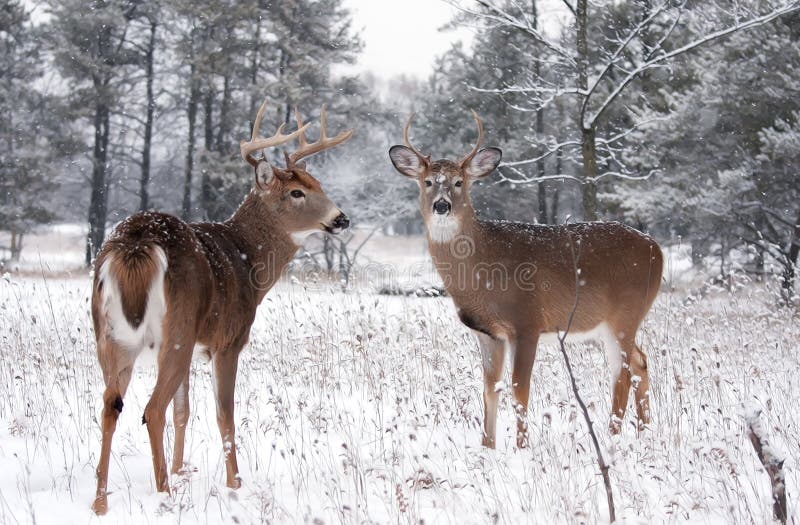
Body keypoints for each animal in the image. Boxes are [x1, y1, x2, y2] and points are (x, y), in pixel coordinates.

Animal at [90, 99, 353, 515]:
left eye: (319, 184)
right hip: (175, 330)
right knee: (151, 409)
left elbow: (184, 411)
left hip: (112, 336)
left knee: (110, 406)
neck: (249, 261)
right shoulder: (229, 339)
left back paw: (101, 502)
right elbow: (224, 414)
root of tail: (136, 244)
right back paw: (164, 495)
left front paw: (182, 470)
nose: (341, 219)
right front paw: (235, 484)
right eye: (296, 192)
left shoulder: (197, 344)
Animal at [389, 112, 663, 449]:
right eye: (427, 182)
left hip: (624, 316)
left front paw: (522, 447)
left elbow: (520, 389)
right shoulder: (487, 332)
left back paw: (611, 438)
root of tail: (657, 248)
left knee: (622, 373)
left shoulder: (528, 322)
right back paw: (644, 432)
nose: (442, 205)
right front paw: (488, 447)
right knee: (641, 361)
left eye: (459, 182)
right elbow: (490, 389)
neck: (482, 272)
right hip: (615, 322)